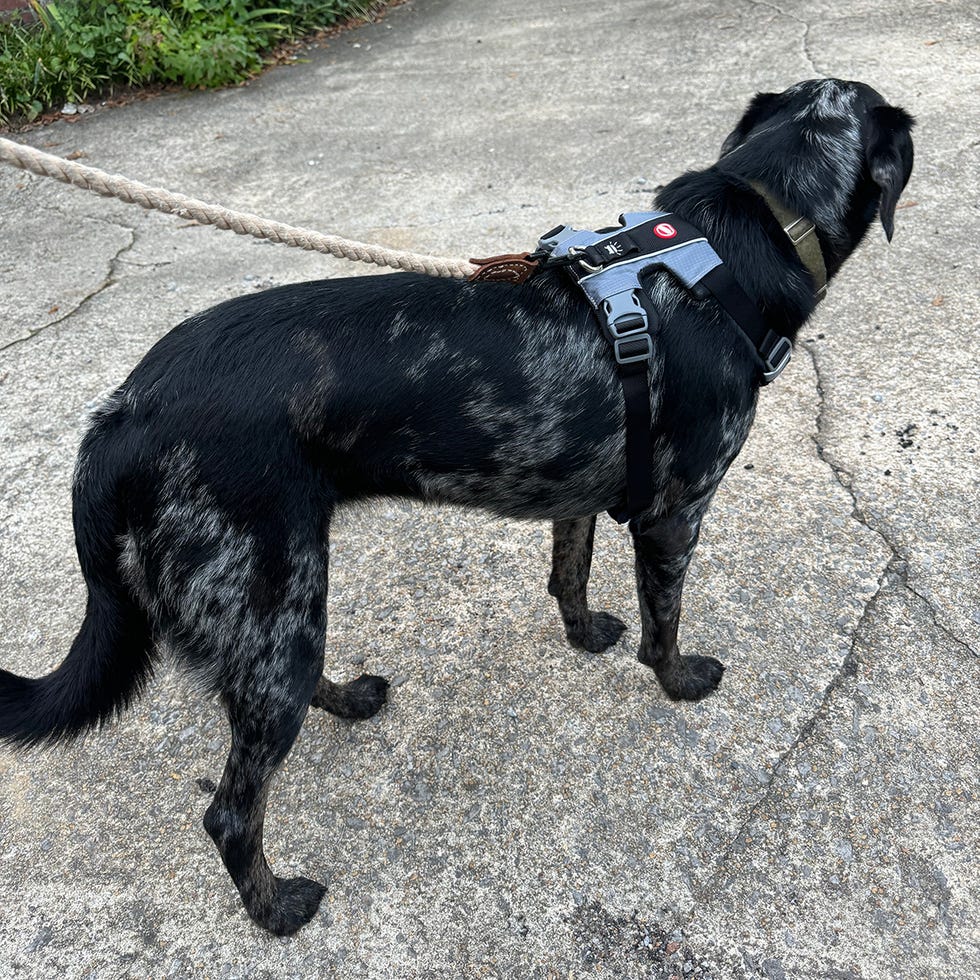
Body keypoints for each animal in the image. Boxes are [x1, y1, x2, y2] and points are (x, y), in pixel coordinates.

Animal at [3, 78, 916, 936]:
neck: (740, 235)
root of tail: (122, 413)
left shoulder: (581, 492)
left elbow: (569, 576)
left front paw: (585, 635)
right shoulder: (673, 514)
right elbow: (665, 623)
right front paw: (679, 681)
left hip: (281, 605)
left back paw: (349, 701)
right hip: (270, 604)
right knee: (230, 812)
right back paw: (276, 909)